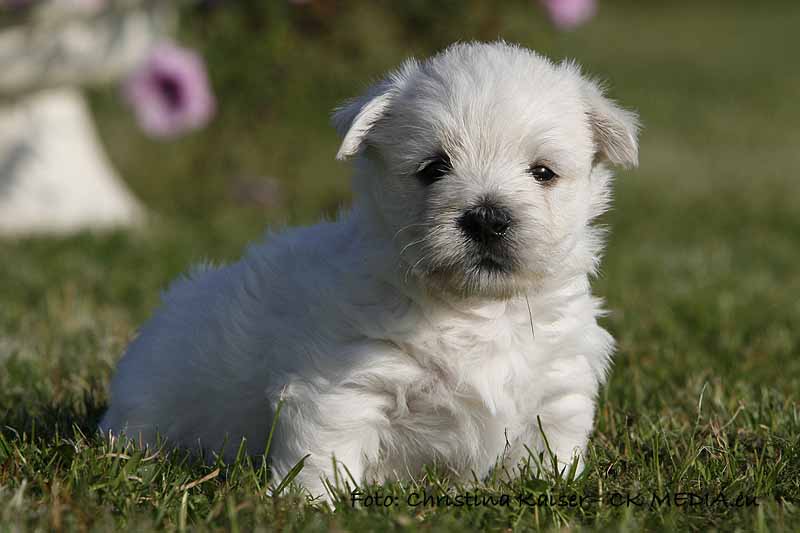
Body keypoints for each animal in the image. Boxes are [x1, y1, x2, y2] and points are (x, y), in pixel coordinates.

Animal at [100, 41, 640, 498]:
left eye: (543, 172)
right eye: (433, 168)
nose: (487, 218)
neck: (477, 311)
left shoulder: (559, 387)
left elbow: (550, 452)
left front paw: (548, 488)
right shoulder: (343, 386)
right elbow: (324, 455)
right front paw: (310, 505)